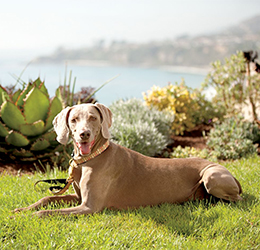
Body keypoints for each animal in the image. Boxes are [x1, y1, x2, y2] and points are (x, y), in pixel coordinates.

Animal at [13, 102, 242, 216]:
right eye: (74, 119)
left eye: (93, 118)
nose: (84, 134)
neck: (90, 159)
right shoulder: (79, 198)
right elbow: (46, 200)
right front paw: (21, 209)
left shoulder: (89, 207)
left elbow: (46, 213)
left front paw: (24, 217)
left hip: (211, 176)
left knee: (236, 200)